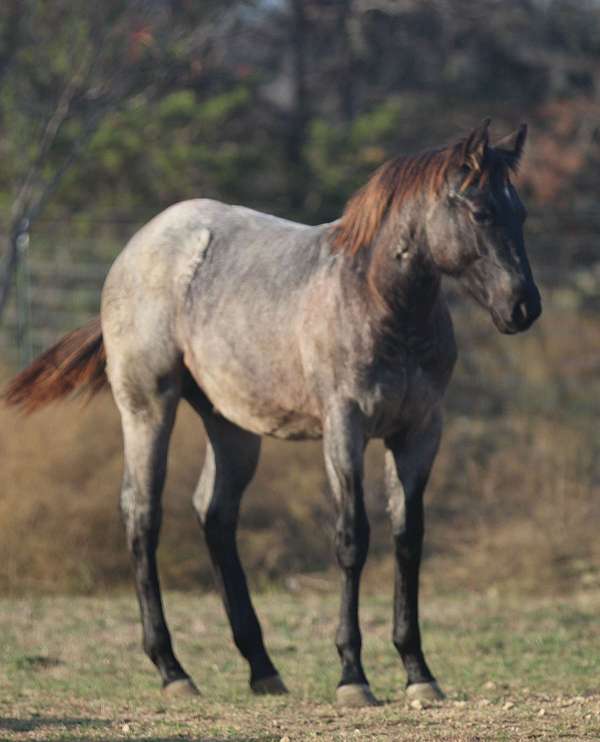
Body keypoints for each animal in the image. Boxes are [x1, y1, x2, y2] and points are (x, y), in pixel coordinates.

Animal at [3, 119, 540, 708]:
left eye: (520, 212)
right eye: (480, 212)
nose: (524, 307)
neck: (379, 301)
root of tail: (139, 245)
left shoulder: (420, 431)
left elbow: (408, 539)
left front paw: (418, 672)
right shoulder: (345, 427)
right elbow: (352, 539)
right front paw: (352, 675)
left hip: (232, 426)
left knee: (215, 514)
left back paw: (261, 667)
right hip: (147, 406)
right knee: (141, 514)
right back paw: (172, 669)